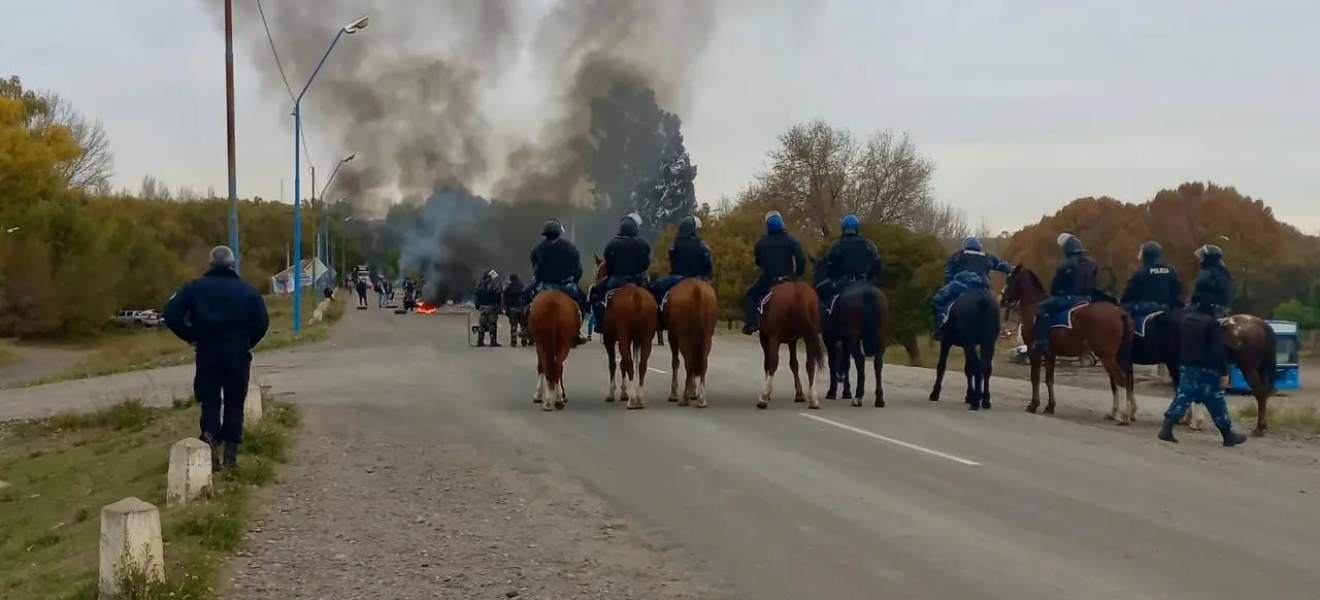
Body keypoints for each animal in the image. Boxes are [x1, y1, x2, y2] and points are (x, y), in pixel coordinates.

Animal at [599, 255, 660, 411]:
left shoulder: (609, 339)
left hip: (622, 337)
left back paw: (632, 400)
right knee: (642, 365)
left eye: (599, 271)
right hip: (646, 339)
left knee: (629, 364)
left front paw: (614, 393)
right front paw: (625, 392)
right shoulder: (636, 340)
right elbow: (629, 363)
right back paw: (640, 399)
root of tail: (636, 294)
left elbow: (614, 364)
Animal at [660, 276, 723, 408]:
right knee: (703, 363)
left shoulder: (673, 336)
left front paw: (675, 394)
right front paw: (693, 392)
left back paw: (684, 398)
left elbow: (675, 363)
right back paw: (701, 398)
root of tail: (696, 288)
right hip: (707, 336)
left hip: (683, 337)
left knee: (689, 362)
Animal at [755, 279, 823, 411]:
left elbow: (767, 364)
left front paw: (767, 394)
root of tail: (797, 292)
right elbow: (794, 364)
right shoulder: (793, 341)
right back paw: (813, 399)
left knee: (773, 362)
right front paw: (800, 394)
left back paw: (763, 397)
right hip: (808, 337)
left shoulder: (765, 338)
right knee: (810, 365)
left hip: (773, 337)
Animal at [997, 265, 1135, 424]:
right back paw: (1120, 413)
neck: (1034, 306)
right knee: (1122, 381)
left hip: (1107, 357)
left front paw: (1033, 405)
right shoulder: (1050, 354)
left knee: (1121, 380)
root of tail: (1118, 312)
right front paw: (1050, 406)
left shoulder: (1033, 351)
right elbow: (1049, 379)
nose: (1001, 299)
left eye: (1010, 279)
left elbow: (1035, 378)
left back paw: (1123, 415)